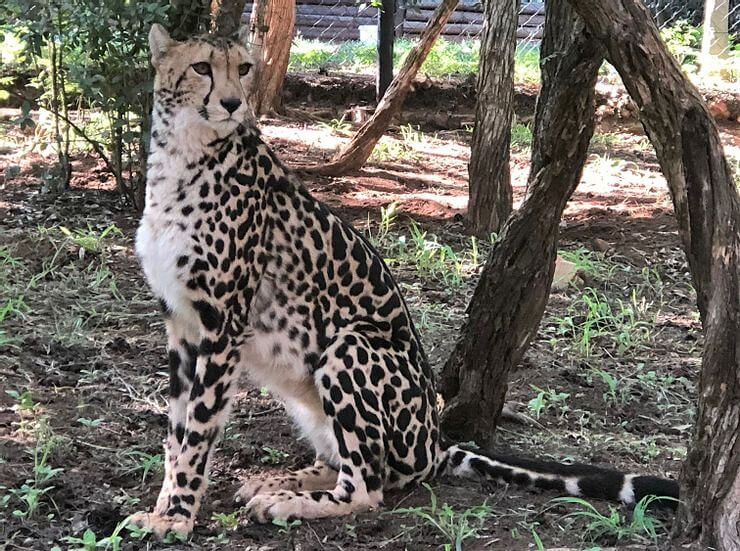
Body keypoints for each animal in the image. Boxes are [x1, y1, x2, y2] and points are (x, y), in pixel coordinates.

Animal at [130, 24, 679, 537]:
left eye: (243, 69)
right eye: (202, 67)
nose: (232, 102)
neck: (183, 157)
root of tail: (434, 441)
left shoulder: (222, 327)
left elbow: (197, 431)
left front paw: (176, 517)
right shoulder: (181, 324)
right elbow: (176, 431)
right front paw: (165, 507)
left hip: (350, 344)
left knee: (367, 485)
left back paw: (288, 501)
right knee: (350, 464)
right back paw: (280, 480)